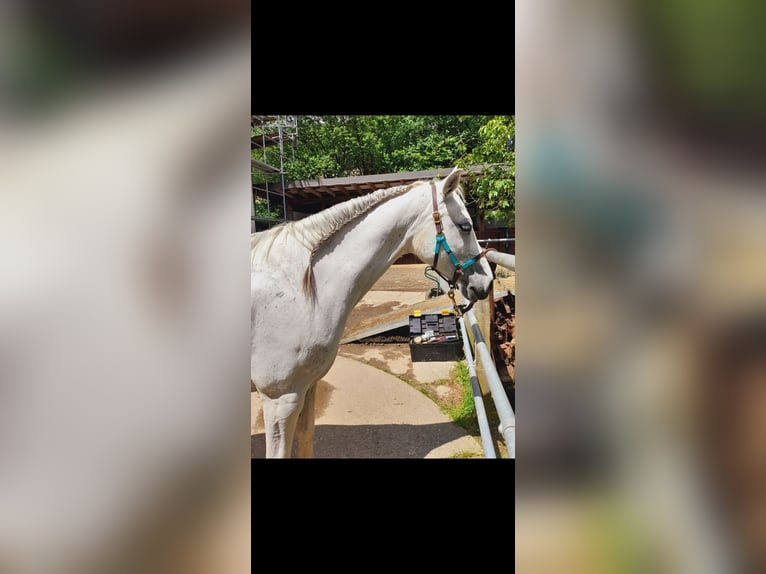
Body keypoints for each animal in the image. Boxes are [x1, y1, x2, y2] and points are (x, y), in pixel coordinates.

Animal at [251, 167, 494, 458]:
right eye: (465, 226)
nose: (487, 282)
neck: (299, 288)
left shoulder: (306, 387)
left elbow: (307, 437)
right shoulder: (280, 399)